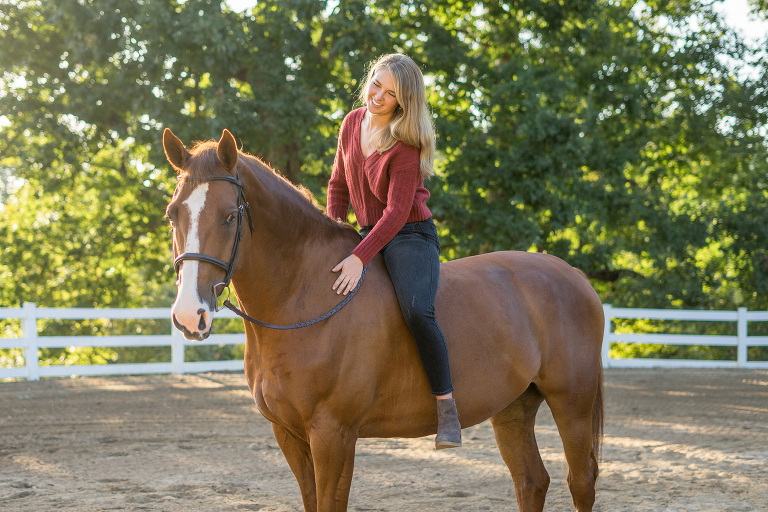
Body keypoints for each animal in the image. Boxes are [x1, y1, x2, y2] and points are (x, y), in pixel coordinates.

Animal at [164, 129, 608, 512]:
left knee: (581, 481)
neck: (304, 295)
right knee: (531, 481)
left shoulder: (334, 434)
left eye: (229, 216)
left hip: (572, 403)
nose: (189, 315)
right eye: (172, 214)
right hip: (514, 408)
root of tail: (573, 275)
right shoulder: (289, 434)